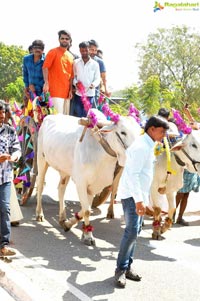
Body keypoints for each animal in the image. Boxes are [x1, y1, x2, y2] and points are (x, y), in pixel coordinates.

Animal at [35, 109, 141, 245]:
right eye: (123, 132)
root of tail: (48, 117)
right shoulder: (81, 182)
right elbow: (86, 211)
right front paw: (88, 236)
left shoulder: (93, 187)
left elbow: (86, 209)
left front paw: (70, 225)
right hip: (41, 160)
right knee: (40, 185)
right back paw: (39, 213)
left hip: (65, 171)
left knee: (61, 189)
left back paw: (62, 217)